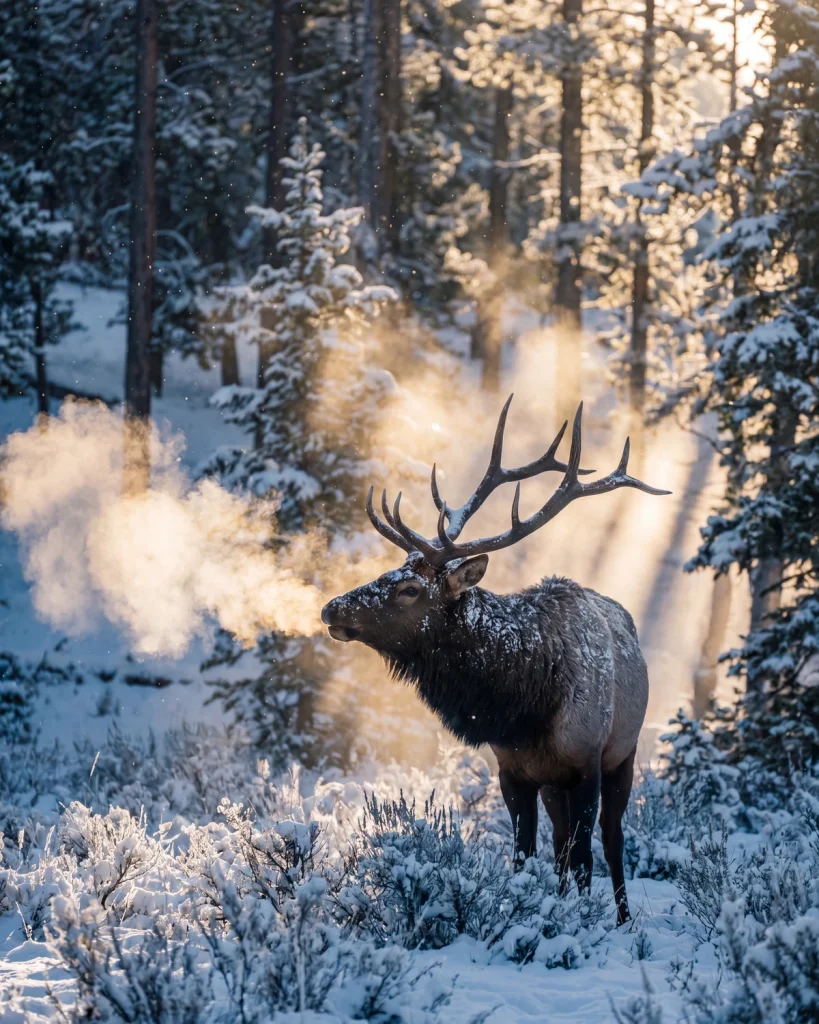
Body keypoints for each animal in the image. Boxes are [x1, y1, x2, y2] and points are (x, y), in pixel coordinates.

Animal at [321, 397, 669, 924]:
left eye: (409, 589)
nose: (331, 608)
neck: (526, 707)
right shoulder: (514, 770)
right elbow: (525, 853)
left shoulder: (587, 761)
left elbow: (586, 855)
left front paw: (586, 922)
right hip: (554, 784)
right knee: (561, 843)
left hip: (621, 756)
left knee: (611, 842)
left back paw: (624, 920)